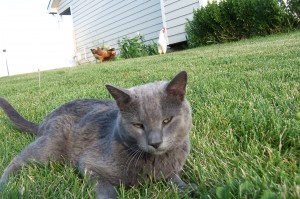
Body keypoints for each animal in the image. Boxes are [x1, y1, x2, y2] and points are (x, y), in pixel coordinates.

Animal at [0, 70, 195, 198]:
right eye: (138, 125)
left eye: (167, 120)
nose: (155, 142)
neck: (154, 162)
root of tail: (46, 118)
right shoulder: (90, 164)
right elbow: (106, 190)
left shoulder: (170, 171)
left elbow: (175, 179)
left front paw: (190, 188)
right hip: (50, 146)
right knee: (18, 160)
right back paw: (6, 186)